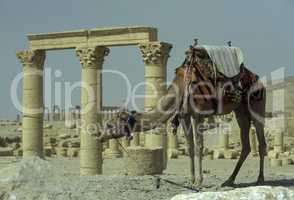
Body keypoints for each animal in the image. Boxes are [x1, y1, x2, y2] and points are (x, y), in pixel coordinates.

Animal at [100, 43, 266, 188]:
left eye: (109, 124)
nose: (100, 137)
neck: (180, 88)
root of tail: (257, 79)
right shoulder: (185, 116)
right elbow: (190, 146)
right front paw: (191, 180)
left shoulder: (199, 114)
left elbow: (199, 146)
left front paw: (199, 180)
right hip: (240, 110)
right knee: (246, 144)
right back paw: (229, 180)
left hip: (256, 104)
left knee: (261, 140)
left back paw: (260, 179)